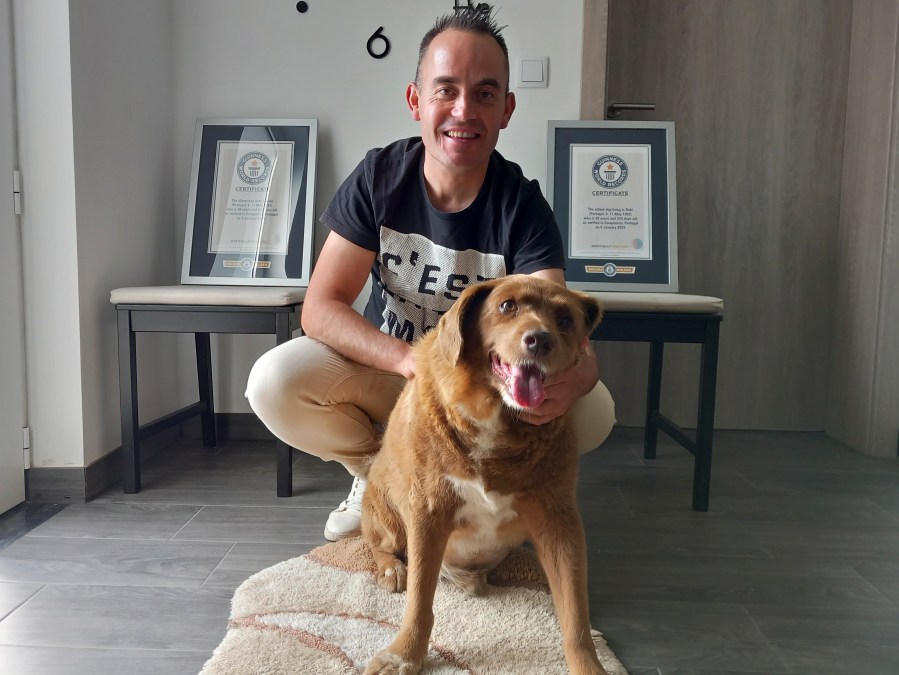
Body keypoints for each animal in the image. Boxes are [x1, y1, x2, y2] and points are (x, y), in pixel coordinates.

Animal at [362, 276, 608, 675]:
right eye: (507, 306)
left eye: (565, 320)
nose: (540, 340)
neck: (497, 418)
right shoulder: (428, 511)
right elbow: (419, 602)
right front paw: (404, 655)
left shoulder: (559, 521)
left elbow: (575, 613)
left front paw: (589, 664)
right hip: (388, 514)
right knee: (379, 545)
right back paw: (391, 570)